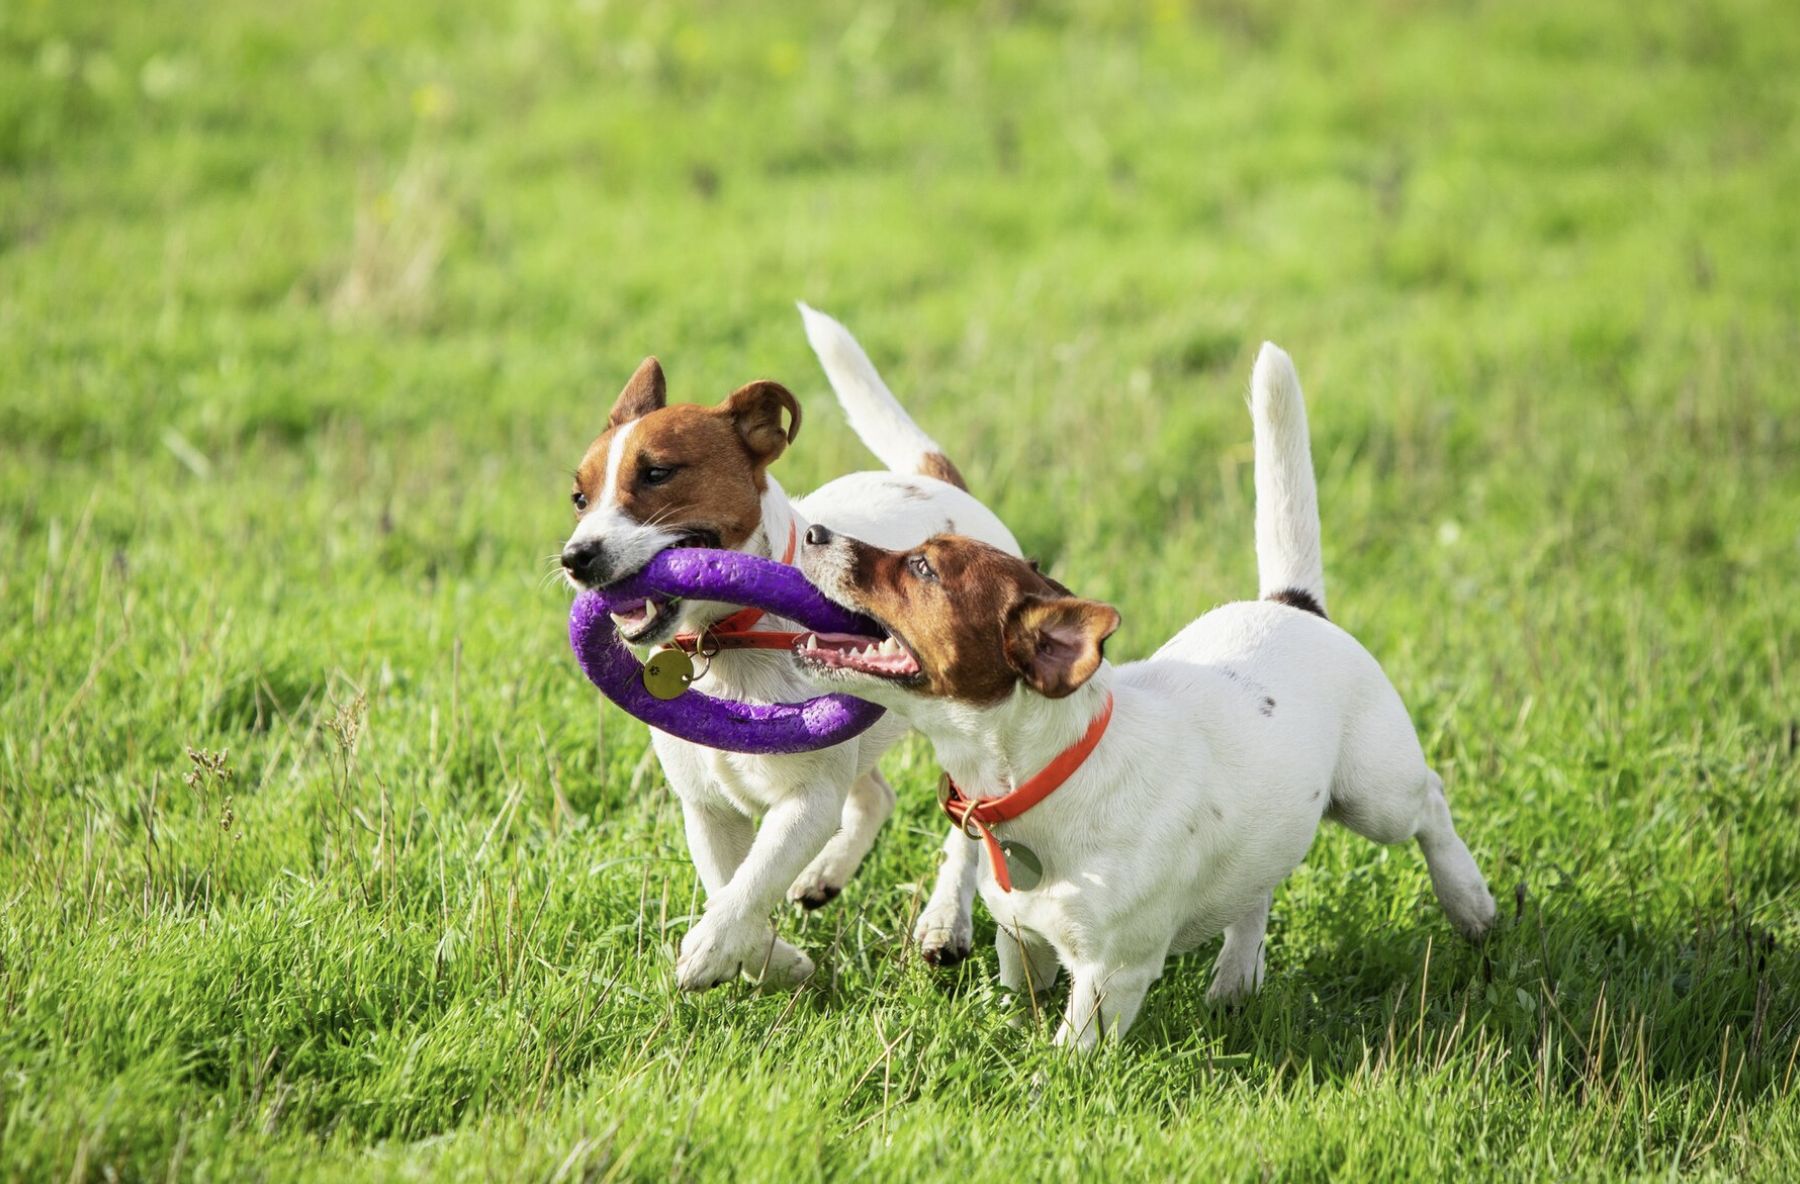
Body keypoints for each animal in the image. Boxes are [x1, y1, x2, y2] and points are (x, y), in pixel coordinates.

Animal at [554, 304, 1022, 986]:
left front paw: (713, 948)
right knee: (875, 796)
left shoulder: (807, 800)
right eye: (579, 498)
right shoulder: (706, 808)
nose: (575, 557)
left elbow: (752, 882)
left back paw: (943, 921)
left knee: (966, 826)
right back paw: (826, 874)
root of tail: (936, 483)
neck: (727, 642)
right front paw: (773, 960)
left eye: (658, 472)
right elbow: (729, 882)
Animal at [795, 345, 1497, 1043]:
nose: (812, 532)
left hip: (1375, 795)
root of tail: (1293, 603)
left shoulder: (1110, 975)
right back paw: (1236, 976)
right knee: (1259, 888)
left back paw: (1471, 903)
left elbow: (1067, 1051)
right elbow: (1021, 1001)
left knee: (1430, 801)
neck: (1047, 776)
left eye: (922, 568)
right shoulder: (1023, 940)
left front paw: (1045, 1069)